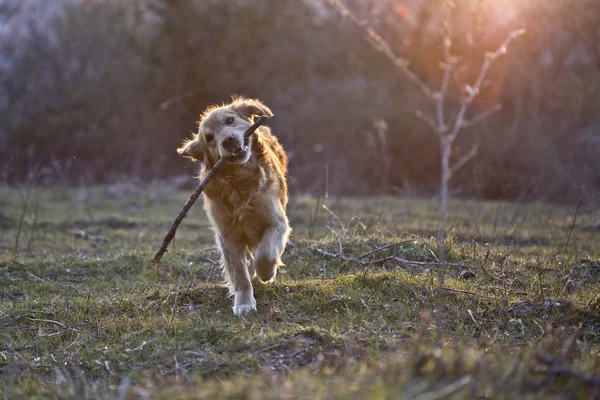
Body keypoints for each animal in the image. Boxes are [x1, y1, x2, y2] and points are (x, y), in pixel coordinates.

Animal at [178, 96, 290, 316]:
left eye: (229, 120)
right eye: (209, 138)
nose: (227, 141)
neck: (240, 181)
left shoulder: (277, 222)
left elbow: (265, 253)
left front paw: (267, 273)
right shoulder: (227, 235)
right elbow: (239, 273)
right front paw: (244, 302)